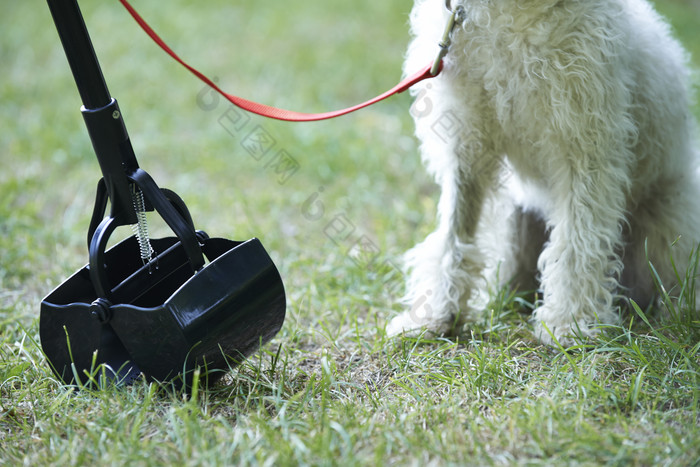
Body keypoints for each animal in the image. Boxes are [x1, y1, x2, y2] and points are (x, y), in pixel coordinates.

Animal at [388, 0, 700, 344]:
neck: (511, 13)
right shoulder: (466, 142)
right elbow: (455, 236)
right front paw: (437, 314)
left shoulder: (585, 146)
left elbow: (577, 243)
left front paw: (569, 323)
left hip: (670, 226)